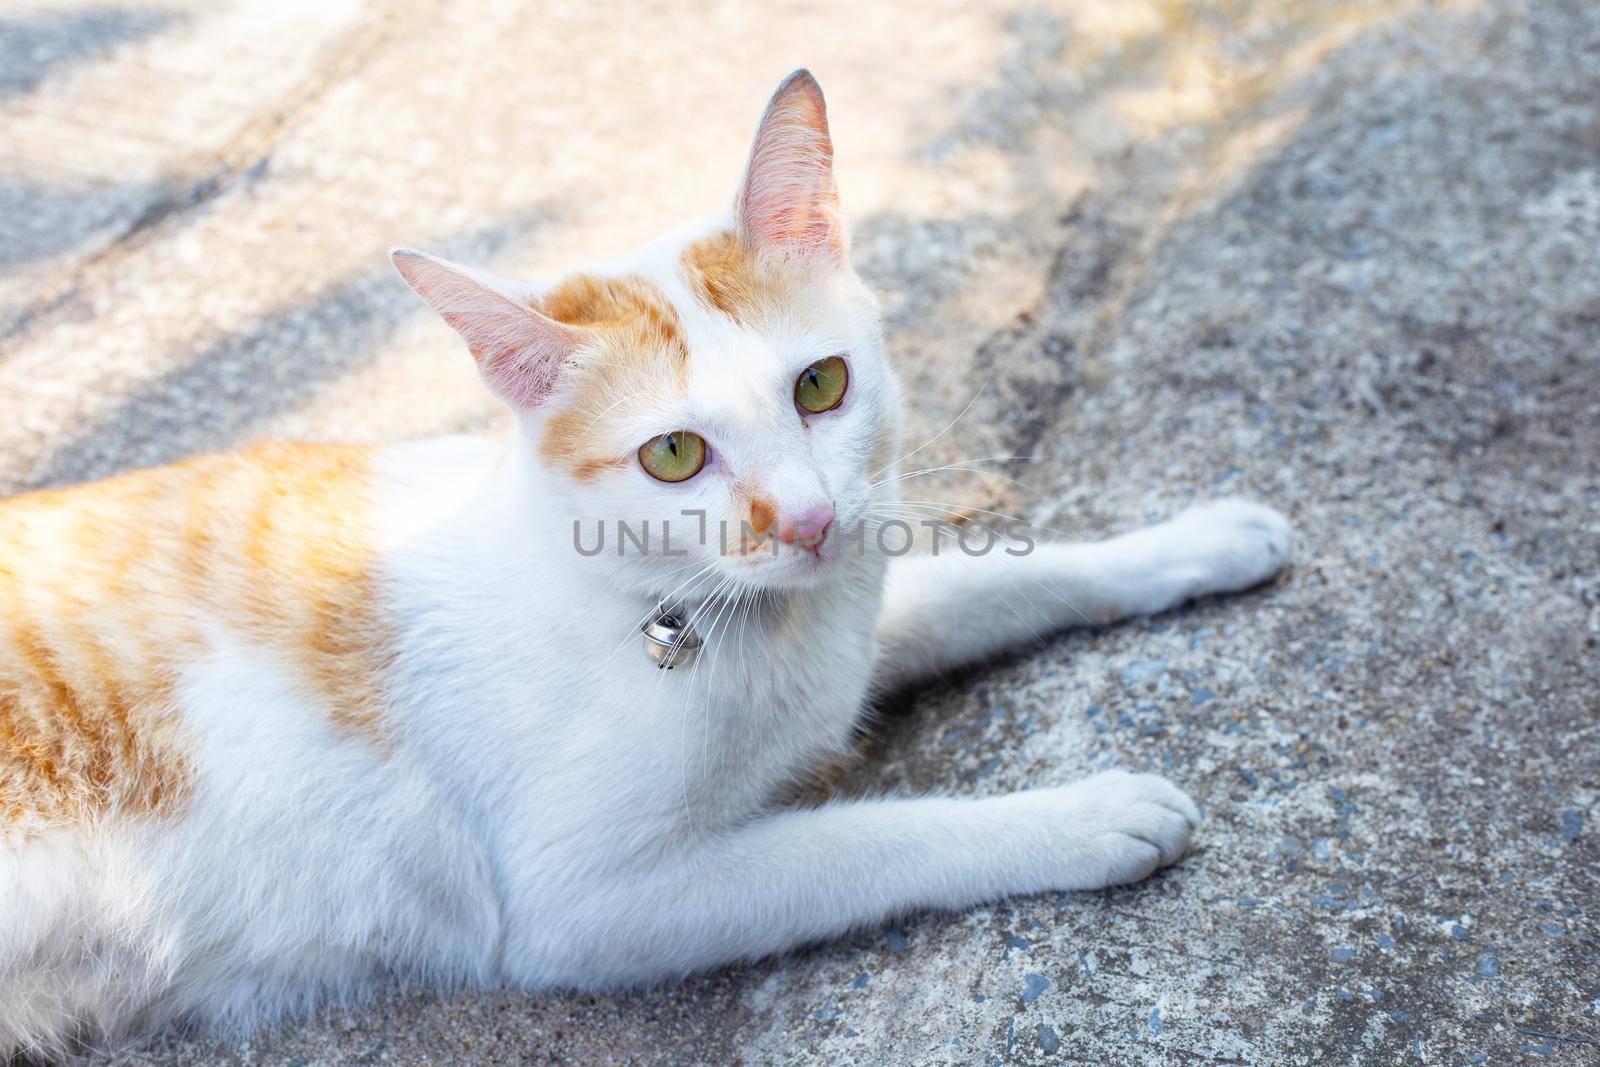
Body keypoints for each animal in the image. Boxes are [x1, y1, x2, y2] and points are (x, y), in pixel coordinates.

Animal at [0, 70, 1286, 1055]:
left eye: (822, 384)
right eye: (673, 454)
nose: (805, 520)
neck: (688, 614)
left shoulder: (847, 614)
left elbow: (998, 579)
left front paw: (1196, 541)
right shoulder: (584, 906)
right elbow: (874, 840)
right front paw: (1085, 816)